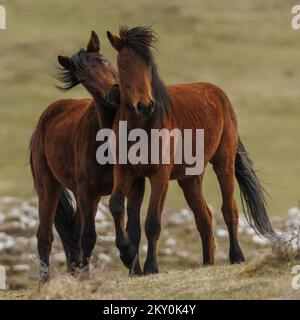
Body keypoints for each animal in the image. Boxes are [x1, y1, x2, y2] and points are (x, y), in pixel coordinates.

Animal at [30, 31, 146, 282]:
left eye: (105, 61)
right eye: (84, 78)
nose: (115, 92)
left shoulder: (133, 184)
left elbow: (130, 225)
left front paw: (136, 267)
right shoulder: (86, 190)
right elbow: (89, 236)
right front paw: (125, 257)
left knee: (72, 234)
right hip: (49, 187)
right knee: (46, 236)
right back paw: (46, 282)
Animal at [106, 26, 276, 276]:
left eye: (149, 65)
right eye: (123, 65)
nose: (145, 106)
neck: (141, 127)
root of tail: (219, 94)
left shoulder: (160, 175)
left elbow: (152, 222)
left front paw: (150, 267)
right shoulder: (126, 171)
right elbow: (119, 208)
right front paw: (128, 258)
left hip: (223, 165)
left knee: (229, 209)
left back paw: (236, 256)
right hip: (190, 179)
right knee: (203, 217)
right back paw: (207, 261)